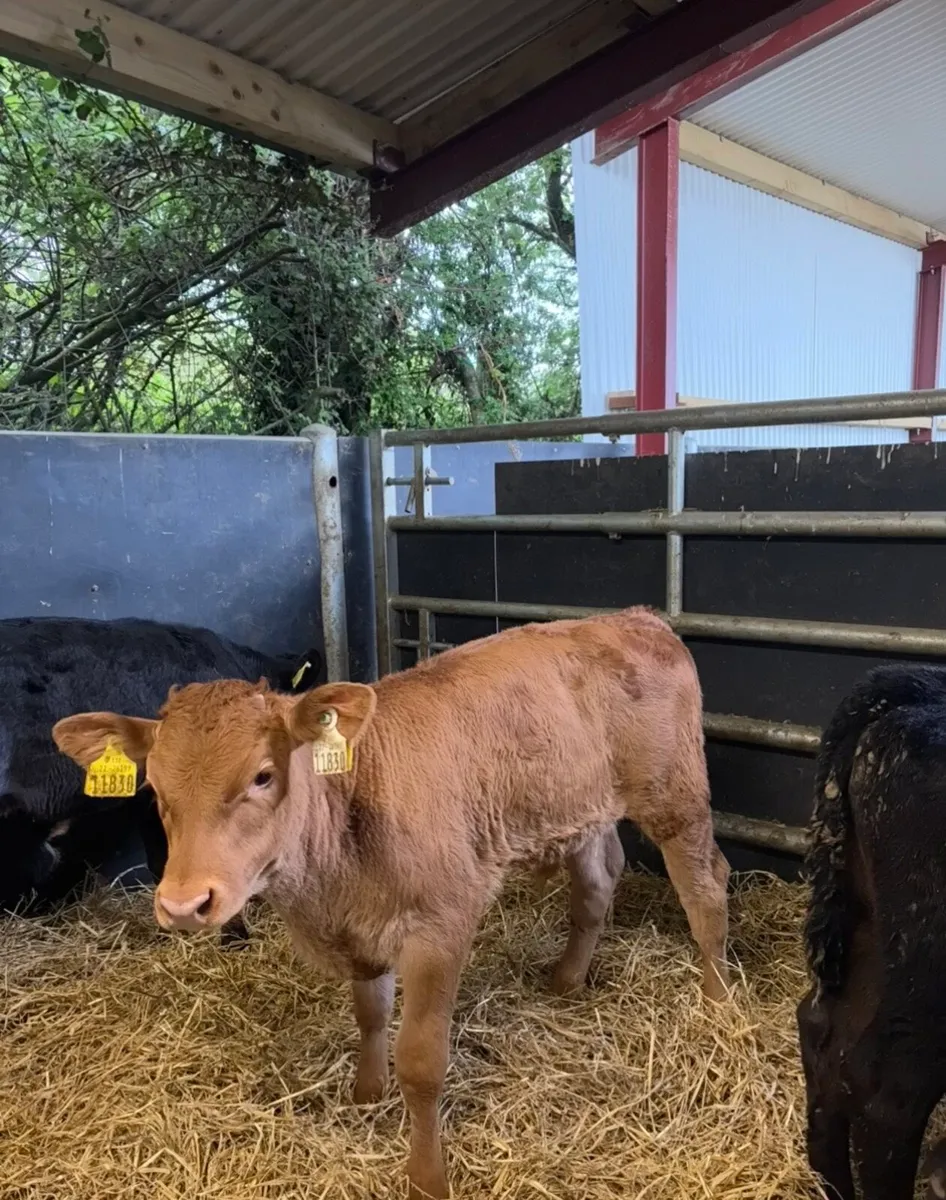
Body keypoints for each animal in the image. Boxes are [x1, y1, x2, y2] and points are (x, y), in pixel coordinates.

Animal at [53, 606, 730, 1200]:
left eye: (263, 776)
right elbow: (370, 1013)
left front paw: (426, 1176)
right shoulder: (358, 927)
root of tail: (635, 618)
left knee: (707, 887)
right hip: (582, 809)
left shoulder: (440, 925)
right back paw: (567, 980)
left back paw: (718, 999)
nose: (184, 903)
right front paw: (366, 1090)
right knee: (596, 880)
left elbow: (423, 1062)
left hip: (675, 795)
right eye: (154, 787)